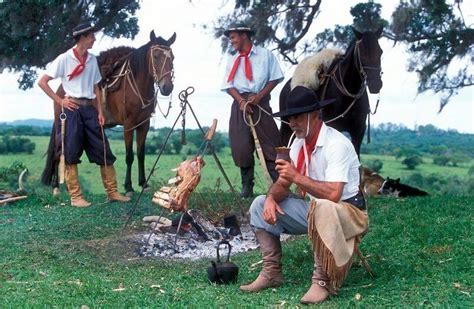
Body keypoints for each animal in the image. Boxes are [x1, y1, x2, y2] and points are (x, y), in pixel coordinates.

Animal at [280, 26, 384, 154]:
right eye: (362, 53)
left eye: (380, 52)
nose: (376, 84)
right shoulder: (333, 126)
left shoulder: (358, 131)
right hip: (286, 128)